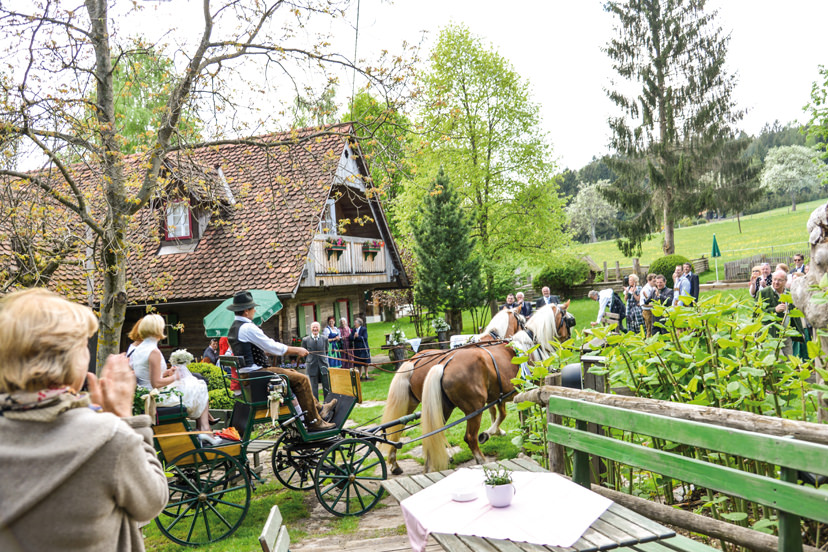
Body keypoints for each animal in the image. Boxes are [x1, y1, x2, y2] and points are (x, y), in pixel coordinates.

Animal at [376, 306, 524, 474]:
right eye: (522, 321)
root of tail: (414, 361)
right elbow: (499, 412)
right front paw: (493, 432)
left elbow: (496, 411)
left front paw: (496, 431)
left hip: (416, 404)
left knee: (400, 429)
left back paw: (396, 463)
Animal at [420, 302, 576, 474]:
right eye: (569, 321)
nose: (570, 343)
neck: (532, 344)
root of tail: (445, 364)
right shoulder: (529, 388)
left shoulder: (500, 394)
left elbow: (501, 414)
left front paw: (492, 432)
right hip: (474, 409)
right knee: (470, 438)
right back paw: (481, 460)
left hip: (444, 408)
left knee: (433, 436)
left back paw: (430, 465)